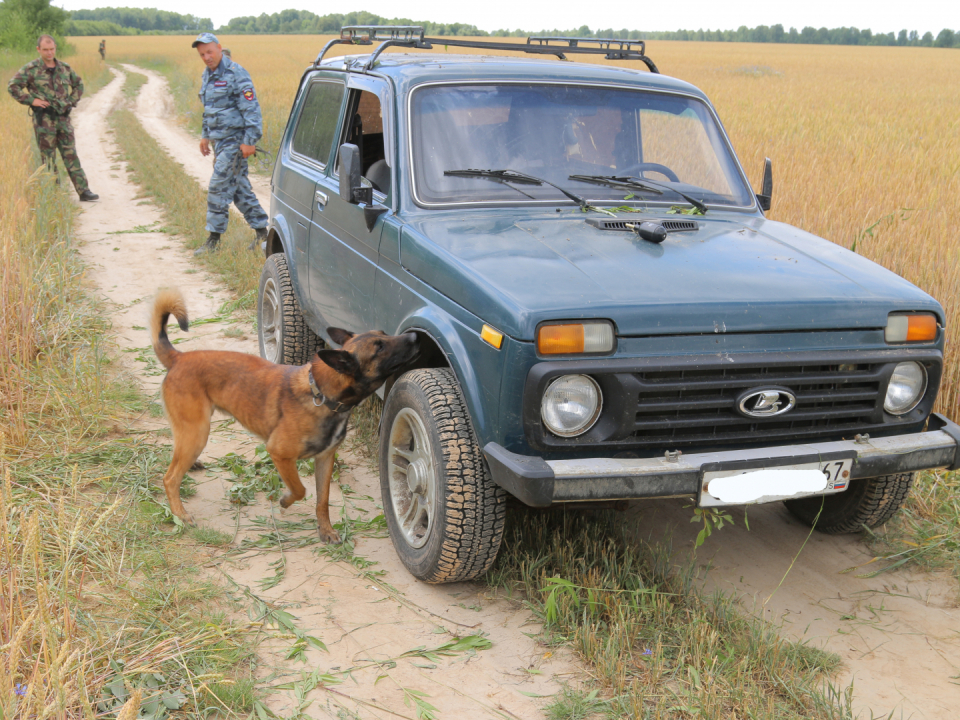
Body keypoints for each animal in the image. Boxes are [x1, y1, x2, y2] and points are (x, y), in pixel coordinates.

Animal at [150, 286, 420, 540]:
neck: (321, 394)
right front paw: (285, 500)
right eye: (379, 347)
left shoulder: (325, 459)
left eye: (383, 334)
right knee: (170, 478)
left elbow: (322, 500)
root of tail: (179, 357)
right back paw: (181, 514)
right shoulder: (279, 453)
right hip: (198, 432)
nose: (414, 335)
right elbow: (300, 489)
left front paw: (326, 530)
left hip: (192, 433)